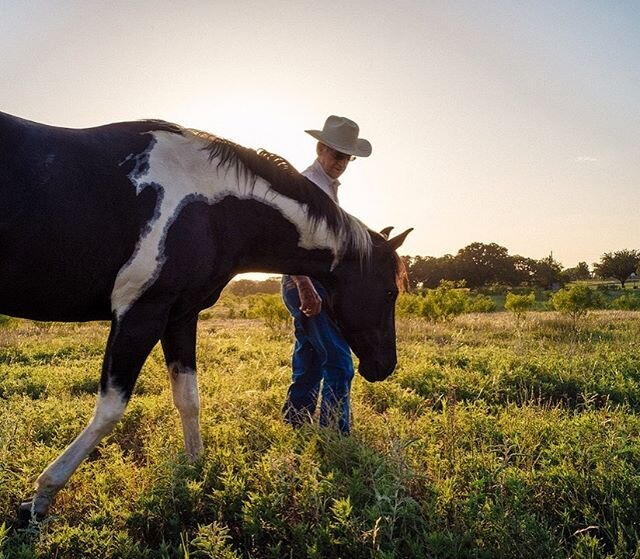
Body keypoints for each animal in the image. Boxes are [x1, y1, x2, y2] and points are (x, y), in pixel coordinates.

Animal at [0, 111, 410, 524]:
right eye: (390, 292)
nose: (385, 366)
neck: (211, 209)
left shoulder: (179, 317)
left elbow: (188, 399)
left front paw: (197, 475)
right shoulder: (140, 313)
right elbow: (110, 409)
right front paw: (41, 496)